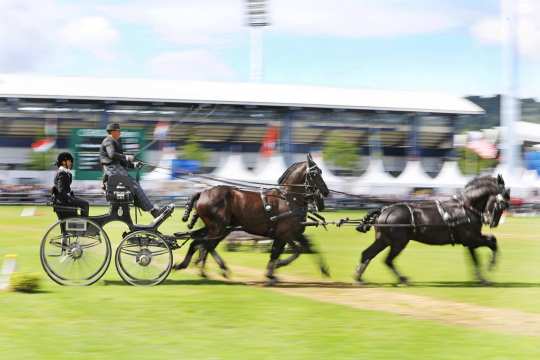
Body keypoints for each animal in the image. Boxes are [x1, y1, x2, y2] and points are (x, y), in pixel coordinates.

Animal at [175, 153, 332, 282]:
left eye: (321, 171)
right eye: (315, 173)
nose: (325, 192)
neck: (288, 199)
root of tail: (202, 193)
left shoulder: (294, 233)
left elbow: (305, 248)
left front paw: (324, 270)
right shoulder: (285, 234)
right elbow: (293, 251)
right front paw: (276, 269)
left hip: (219, 228)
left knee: (202, 243)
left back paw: (206, 269)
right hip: (218, 228)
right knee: (201, 243)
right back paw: (193, 266)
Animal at [352, 174, 508, 284]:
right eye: (502, 204)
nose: (492, 222)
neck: (466, 208)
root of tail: (384, 211)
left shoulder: (470, 241)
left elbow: (475, 260)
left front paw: (481, 278)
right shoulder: (472, 238)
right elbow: (492, 242)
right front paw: (491, 265)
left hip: (384, 240)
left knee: (367, 254)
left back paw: (360, 278)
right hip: (399, 242)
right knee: (388, 260)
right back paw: (402, 279)